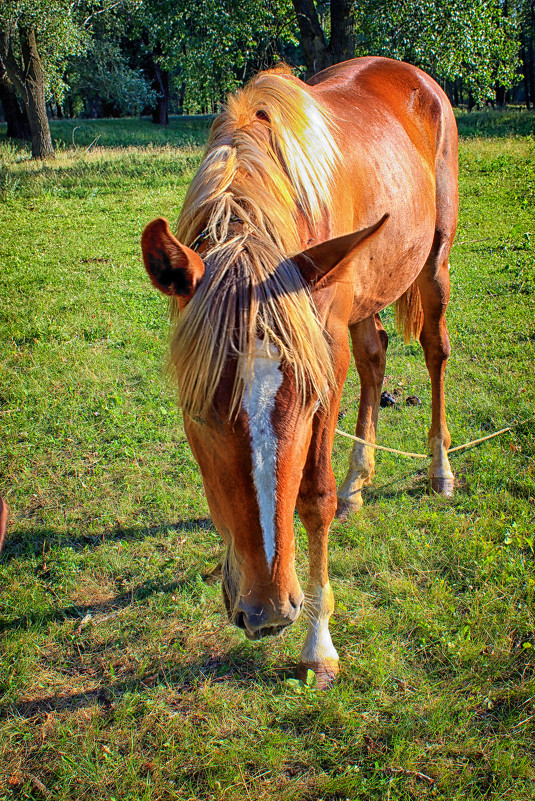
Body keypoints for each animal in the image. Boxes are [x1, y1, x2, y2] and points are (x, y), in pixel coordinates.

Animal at [143, 56, 460, 684]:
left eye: (310, 400)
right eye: (194, 411)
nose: (267, 609)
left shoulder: (325, 351)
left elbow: (312, 496)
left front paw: (318, 641)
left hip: (433, 264)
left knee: (434, 353)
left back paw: (438, 469)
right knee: (375, 358)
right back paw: (359, 479)